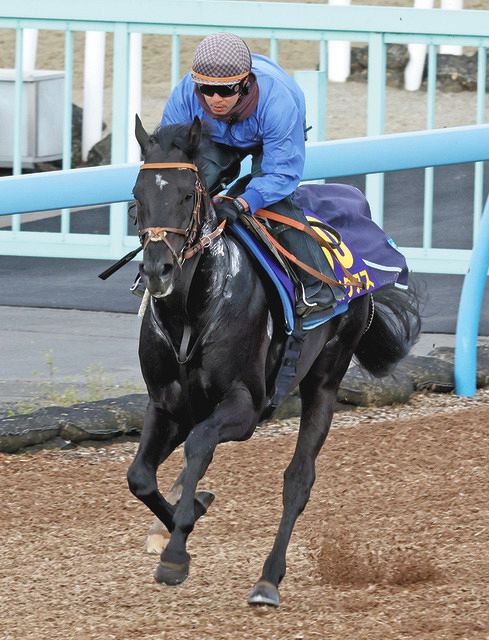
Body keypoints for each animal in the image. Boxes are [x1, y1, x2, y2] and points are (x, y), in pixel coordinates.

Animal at [126, 112, 420, 608]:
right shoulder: (167, 404)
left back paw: (268, 580)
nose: (156, 269)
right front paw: (189, 511)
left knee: (299, 479)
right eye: (137, 196)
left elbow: (200, 446)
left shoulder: (245, 406)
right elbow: (141, 476)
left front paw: (176, 553)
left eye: (187, 195)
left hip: (325, 377)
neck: (191, 310)